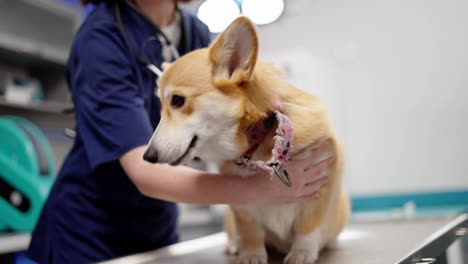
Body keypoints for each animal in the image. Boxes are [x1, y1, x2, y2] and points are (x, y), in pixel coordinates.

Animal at [144, 17, 350, 264]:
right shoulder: (243, 203)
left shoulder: (321, 188)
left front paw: (302, 252)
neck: (258, 141)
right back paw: (235, 246)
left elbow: (307, 227)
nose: (147, 157)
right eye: (160, 106)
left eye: (178, 100)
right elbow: (251, 232)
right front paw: (251, 254)